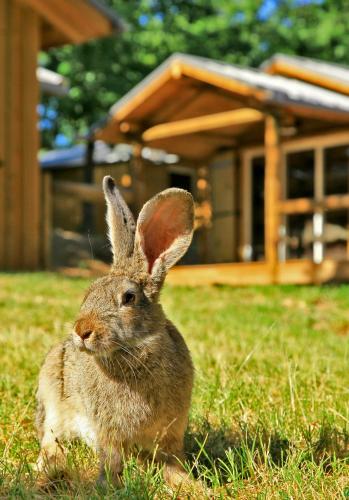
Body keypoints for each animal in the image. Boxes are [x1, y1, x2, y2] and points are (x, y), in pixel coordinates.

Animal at [36, 177, 194, 488]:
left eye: (128, 298)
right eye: (89, 292)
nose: (82, 331)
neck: (135, 352)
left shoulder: (171, 432)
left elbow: (173, 461)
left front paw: (190, 484)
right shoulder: (107, 430)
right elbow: (112, 458)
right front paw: (110, 485)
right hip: (52, 396)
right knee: (51, 438)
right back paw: (47, 470)